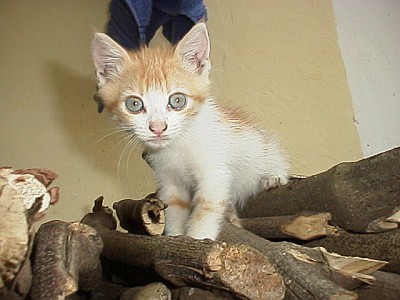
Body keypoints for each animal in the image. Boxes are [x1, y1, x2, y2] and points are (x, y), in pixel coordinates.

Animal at [92, 22, 290, 239]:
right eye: (134, 104)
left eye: (177, 100)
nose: (158, 128)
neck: (178, 145)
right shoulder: (169, 180)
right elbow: (174, 208)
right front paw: (175, 237)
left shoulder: (214, 173)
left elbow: (206, 209)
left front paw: (198, 238)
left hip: (262, 148)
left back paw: (274, 176)